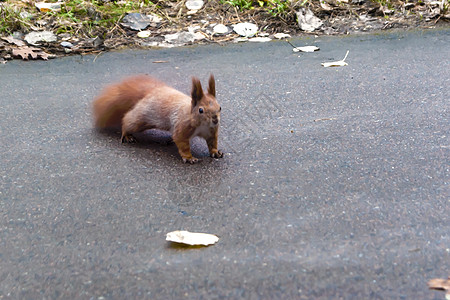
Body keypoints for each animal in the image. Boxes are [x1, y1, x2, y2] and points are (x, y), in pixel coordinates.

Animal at [92, 75, 223, 164]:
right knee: (128, 120)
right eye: (201, 110)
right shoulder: (182, 127)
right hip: (141, 119)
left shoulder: (211, 131)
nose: (215, 120)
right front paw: (189, 158)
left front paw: (215, 152)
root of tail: (150, 92)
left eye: (220, 107)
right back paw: (127, 135)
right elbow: (182, 142)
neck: (202, 124)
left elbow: (212, 142)